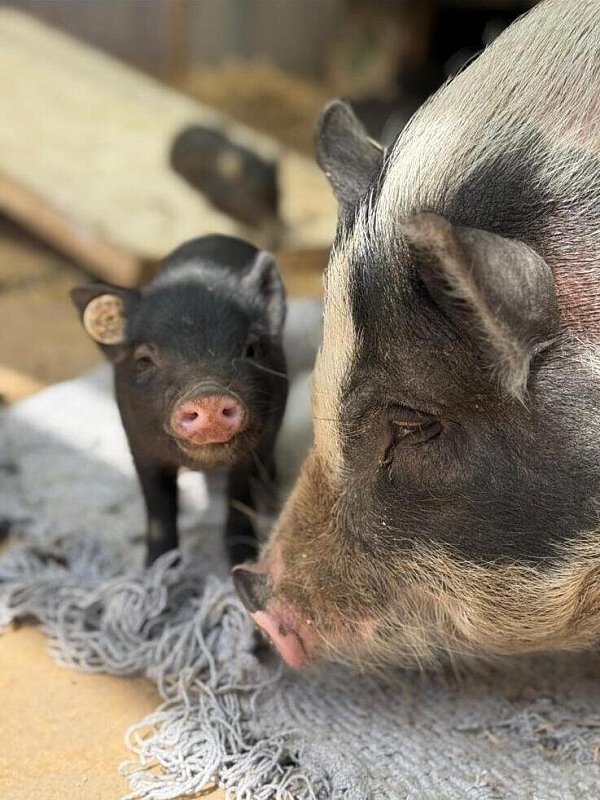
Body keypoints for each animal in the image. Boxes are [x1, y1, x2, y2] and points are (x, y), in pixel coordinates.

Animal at [71, 235, 287, 566]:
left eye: (251, 350)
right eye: (144, 360)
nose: (207, 396)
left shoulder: (254, 448)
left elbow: (239, 500)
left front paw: (241, 562)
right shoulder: (140, 447)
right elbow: (159, 508)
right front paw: (157, 568)